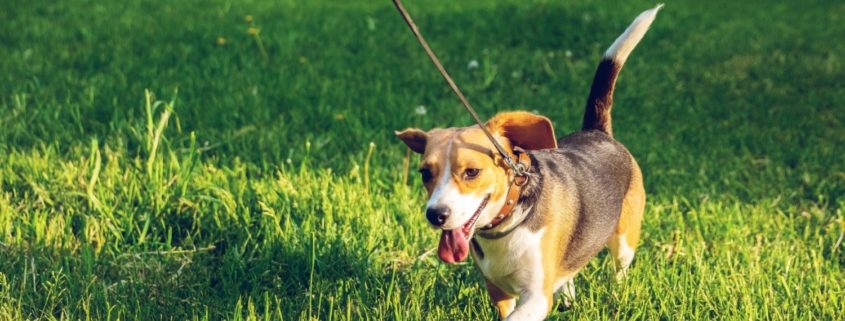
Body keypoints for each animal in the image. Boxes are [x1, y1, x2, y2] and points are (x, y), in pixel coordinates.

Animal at [396, 5, 660, 320]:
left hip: (624, 240)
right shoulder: (498, 290)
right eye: (425, 173)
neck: (507, 221)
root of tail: (597, 131)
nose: (435, 214)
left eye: (472, 172)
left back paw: (616, 293)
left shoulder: (535, 297)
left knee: (619, 269)